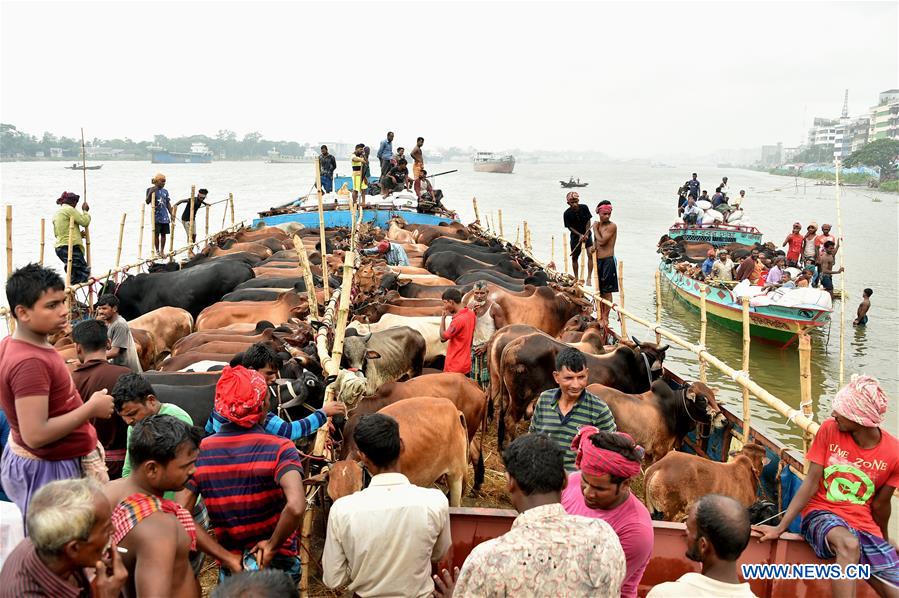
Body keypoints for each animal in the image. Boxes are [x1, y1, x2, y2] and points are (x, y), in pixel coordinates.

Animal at [588, 384, 728, 464]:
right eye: (702, 400)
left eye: (714, 398)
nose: (724, 421)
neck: (675, 409)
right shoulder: (660, 450)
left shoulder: (648, 451)